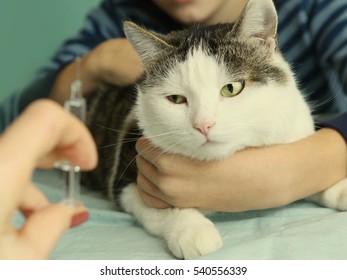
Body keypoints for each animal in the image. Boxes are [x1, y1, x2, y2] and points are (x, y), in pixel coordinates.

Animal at [84, 0, 347, 260]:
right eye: (176, 99)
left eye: (231, 88)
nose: (203, 124)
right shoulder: (126, 178)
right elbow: (159, 207)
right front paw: (193, 230)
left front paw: (338, 189)